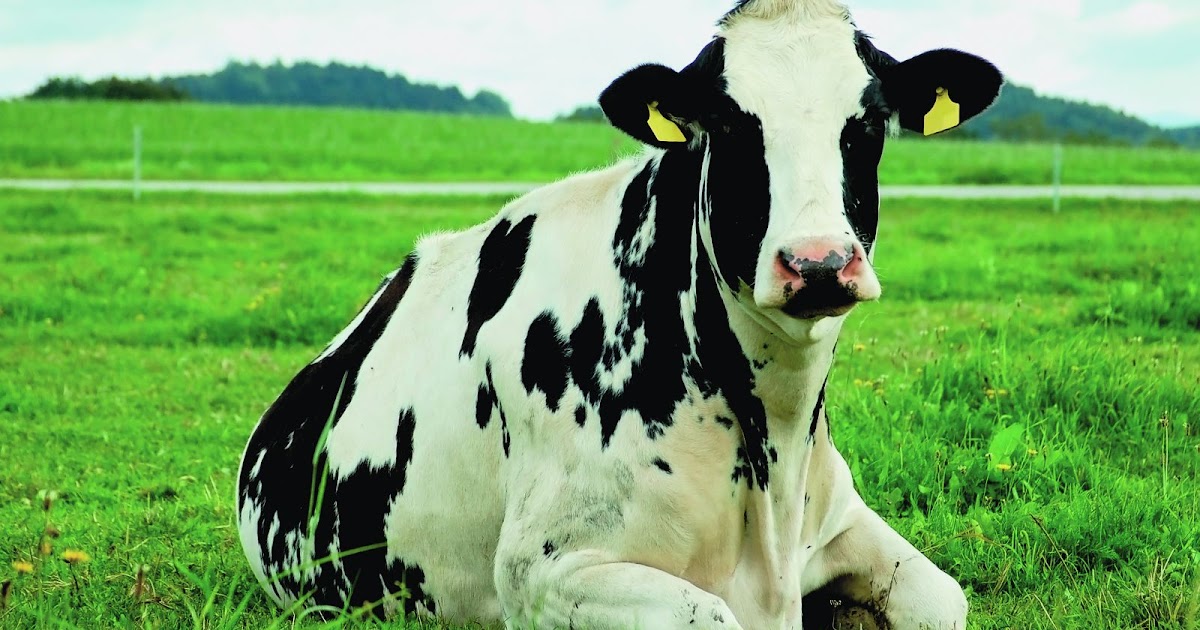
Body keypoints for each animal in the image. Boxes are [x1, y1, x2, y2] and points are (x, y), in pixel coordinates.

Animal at [236, 0, 1002, 627]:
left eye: (868, 123)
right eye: (727, 123)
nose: (816, 263)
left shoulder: (841, 521)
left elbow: (944, 598)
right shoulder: (544, 572)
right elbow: (712, 615)